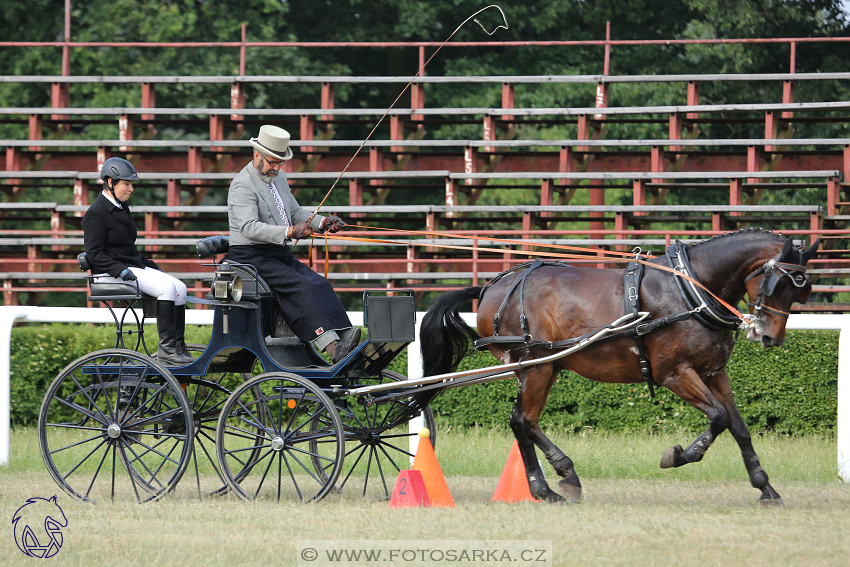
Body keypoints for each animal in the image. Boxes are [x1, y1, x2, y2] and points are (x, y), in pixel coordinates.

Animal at [420, 229, 820, 508]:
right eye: (778, 283)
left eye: (801, 290)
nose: (770, 337)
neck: (691, 290)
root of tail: (491, 286)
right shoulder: (675, 374)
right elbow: (719, 418)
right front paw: (679, 455)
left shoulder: (712, 373)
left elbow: (738, 426)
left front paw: (764, 486)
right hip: (533, 366)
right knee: (521, 420)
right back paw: (544, 488)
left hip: (548, 366)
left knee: (527, 422)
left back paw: (564, 476)